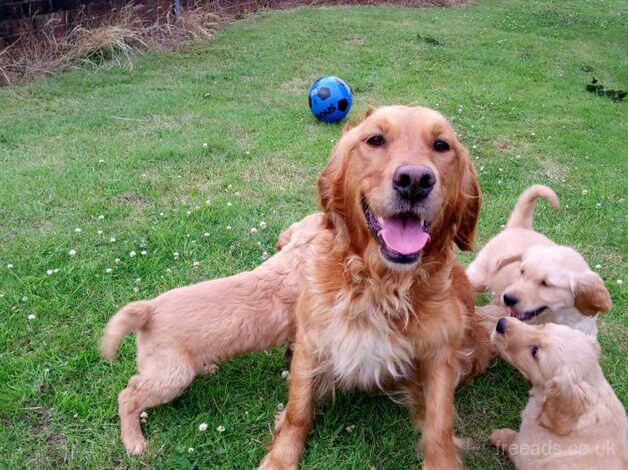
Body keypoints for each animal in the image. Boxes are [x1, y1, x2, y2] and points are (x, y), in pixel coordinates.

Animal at [258, 106, 498, 470]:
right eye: (375, 139)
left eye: (442, 145)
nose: (415, 180)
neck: (382, 284)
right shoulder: (312, 339)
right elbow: (298, 410)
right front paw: (280, 459)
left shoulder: (440, 353)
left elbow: (439, 425)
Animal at [490, 316, 628, 470]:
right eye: (543, 326)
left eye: (535, 352)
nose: (501, 323)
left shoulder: (525, 450)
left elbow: (513, 441)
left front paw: (498, 434)